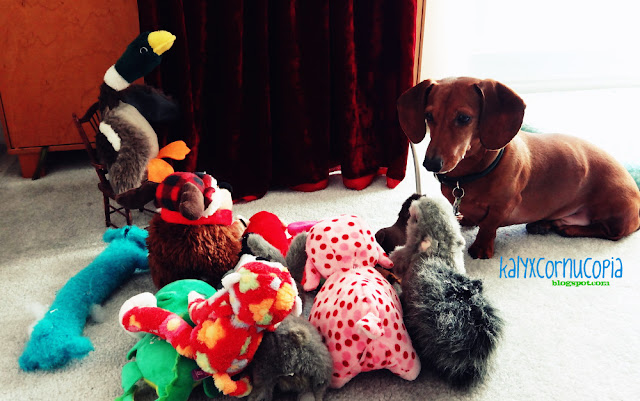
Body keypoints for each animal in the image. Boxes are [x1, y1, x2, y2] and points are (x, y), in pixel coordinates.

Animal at [397, 77, 640, 259]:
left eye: (464, 118)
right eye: (429, 116)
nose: (430, 164)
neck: (472, 175)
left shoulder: (505, 205)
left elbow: (488, 226)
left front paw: (481, 249)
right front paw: (467, 220)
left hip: (613, 212)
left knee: (610, 232)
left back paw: (568, 228)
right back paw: (545, 224)